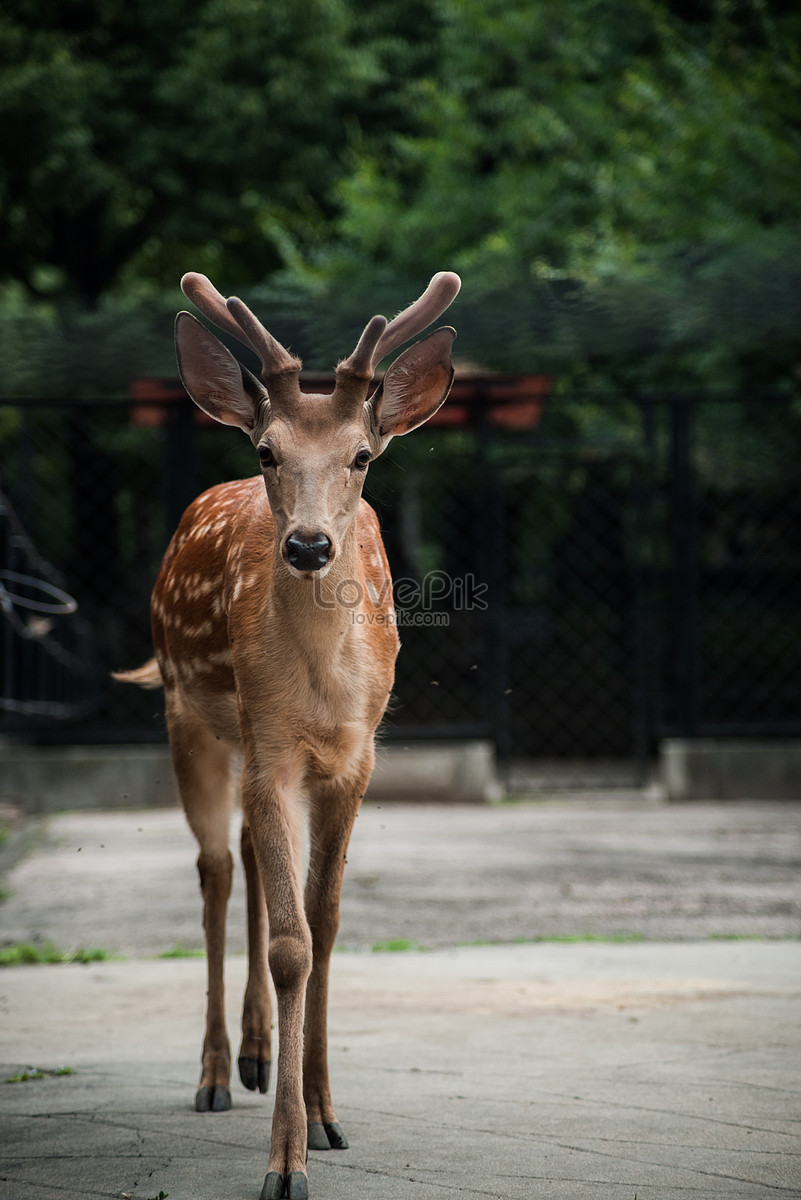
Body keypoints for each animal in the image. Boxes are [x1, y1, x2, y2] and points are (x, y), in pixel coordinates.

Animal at [115, 270, 460, 1200]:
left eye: (362, 456)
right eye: (267, 452)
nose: (307, 545)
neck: (318, 689)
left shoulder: (351, 758)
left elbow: (325, 923)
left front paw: (326, 1115)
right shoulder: (271, 751)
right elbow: (288, 944)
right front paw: (285, 1162)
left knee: (250, 865)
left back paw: (264, 1058)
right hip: (190, 716)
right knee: (215, 870)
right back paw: (213, 1072)